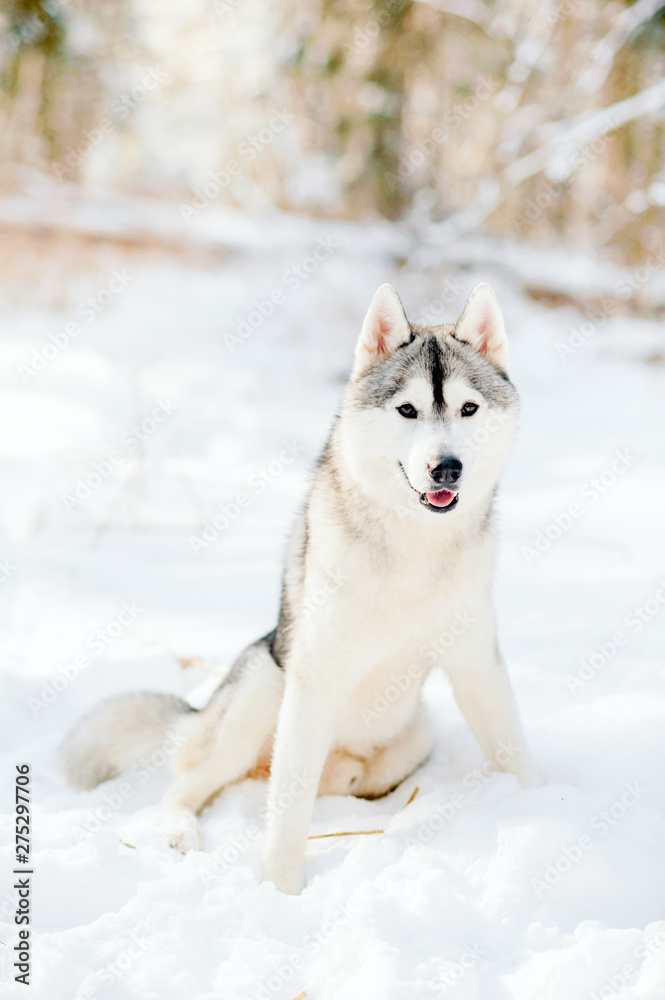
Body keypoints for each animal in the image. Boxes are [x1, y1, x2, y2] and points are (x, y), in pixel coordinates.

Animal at [63, 284, 540, 900]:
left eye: (468, 409)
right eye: (407, 410)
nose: (446, 468)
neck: (413, 546)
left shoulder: (476, 664)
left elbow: (513, 751)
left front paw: (544, 806)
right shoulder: (314, 681)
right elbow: (288, 810)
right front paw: (284, 891)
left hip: (416, 732)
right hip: (264, 691)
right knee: (195, 782)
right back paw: (178, 830)